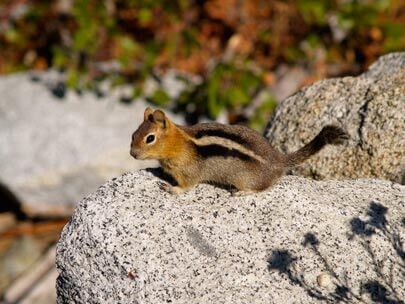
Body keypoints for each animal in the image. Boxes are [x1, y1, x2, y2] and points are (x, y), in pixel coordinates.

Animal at [130, 108, 348, 196]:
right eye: (133, 134)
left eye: (150, 138)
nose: (133, 154)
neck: (178, 144)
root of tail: (279, 160)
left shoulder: (188, 172)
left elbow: (187, 186)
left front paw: (171, 189)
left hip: (244, 178)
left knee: (265, 187)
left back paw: (243, 192)